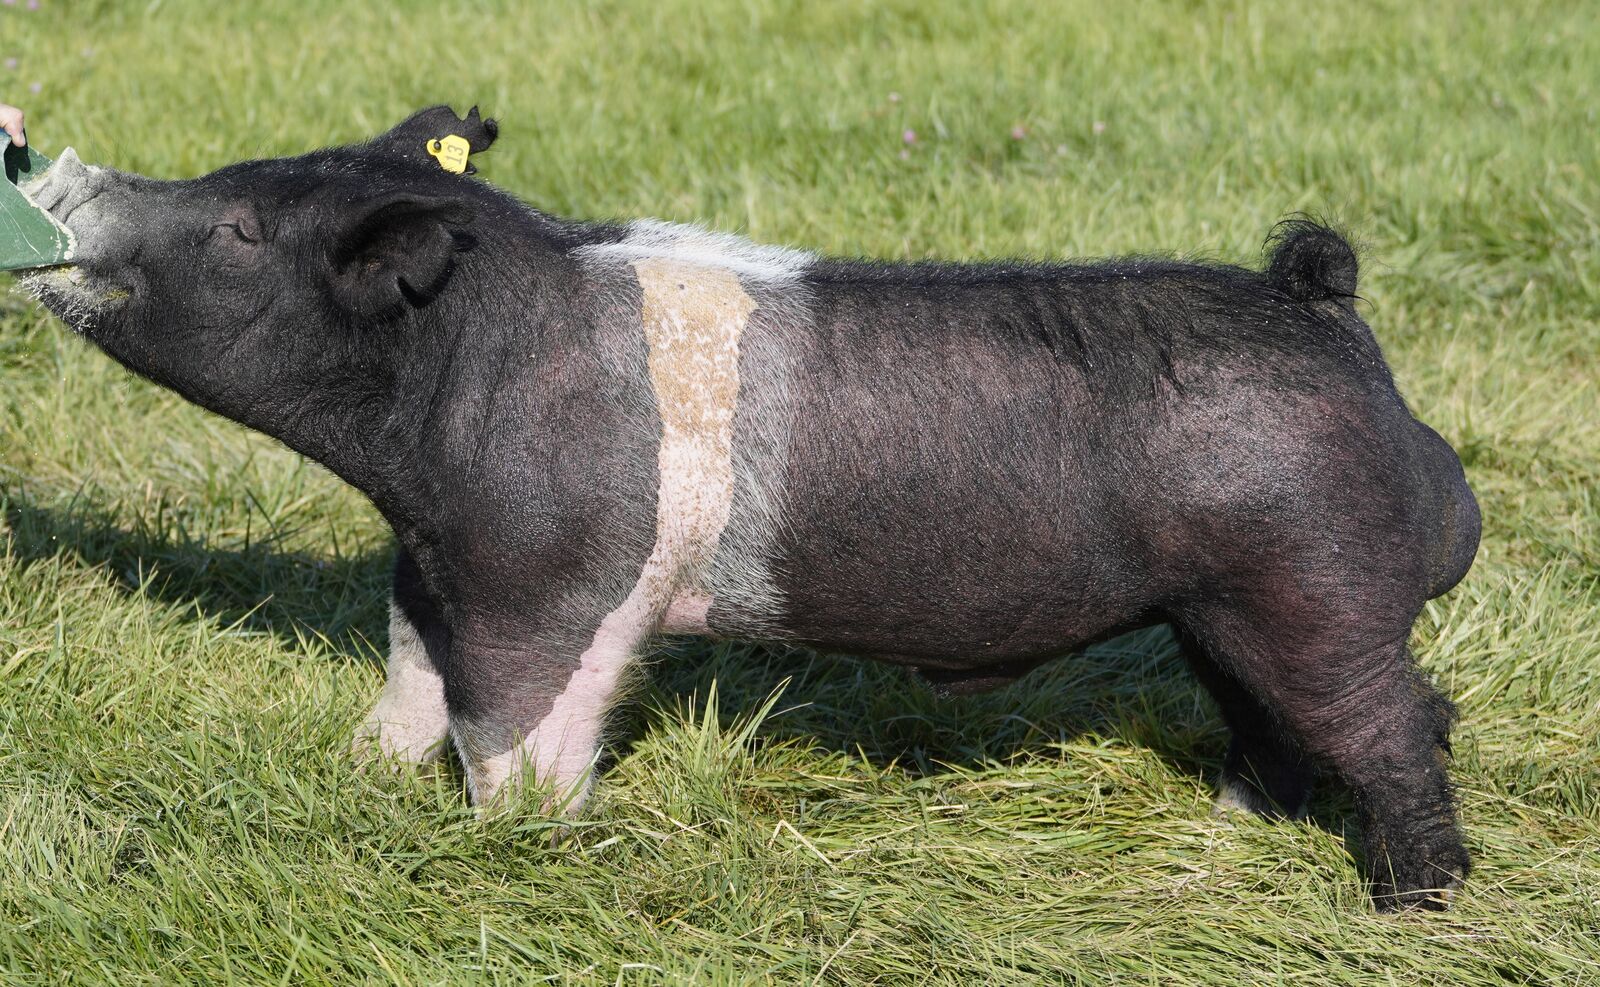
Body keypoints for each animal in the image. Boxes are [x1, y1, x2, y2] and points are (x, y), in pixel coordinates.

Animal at [17, 106, 1480, 910]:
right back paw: (1229, 830)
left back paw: (1409, 907)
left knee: (1399, 723)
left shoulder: (549, 575)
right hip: (1215, 605)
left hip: (1317, 577)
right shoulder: (432, 564)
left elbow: (512, 724)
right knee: (1270, 720)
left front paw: (518, 843)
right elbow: (408, 687)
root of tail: (1323, 309)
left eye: (241, 230)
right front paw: (365, 781)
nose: (63, 176)